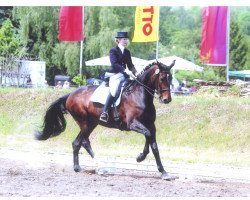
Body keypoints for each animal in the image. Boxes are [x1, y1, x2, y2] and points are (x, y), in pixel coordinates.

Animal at [35, 59, 176, 180]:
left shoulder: (150, 124)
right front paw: (141, 157)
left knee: (78, 142)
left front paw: (162, 171)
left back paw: (78, 167)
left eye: (171, 78)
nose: (167, 99)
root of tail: (70, 94)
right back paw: (101, 167)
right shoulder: (132, 124)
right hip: (84, 123)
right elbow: (148, 135)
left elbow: (153, 144)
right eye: (162, 78)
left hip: (92, 123)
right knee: (83, 142)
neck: (140, 94)